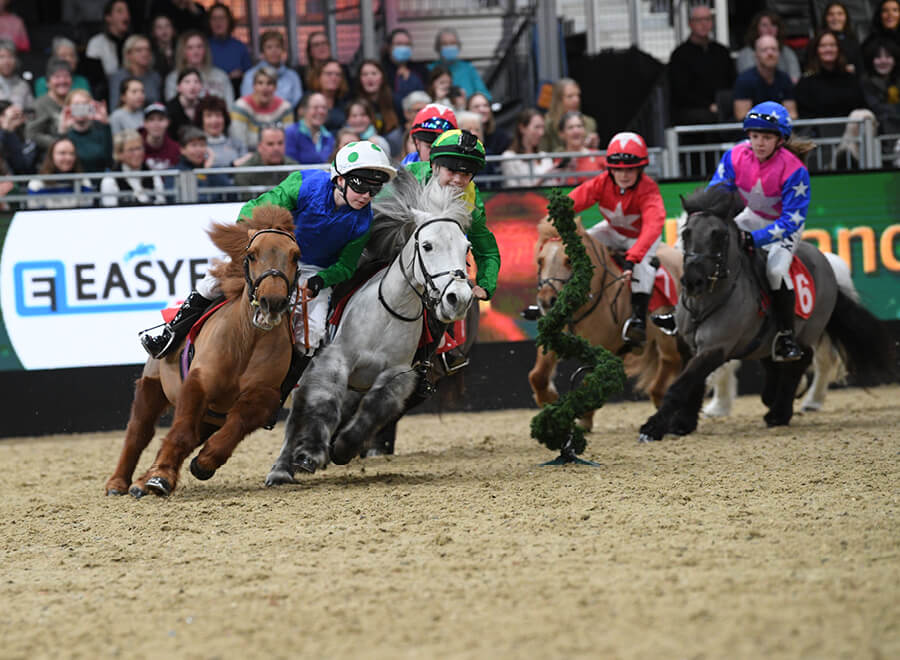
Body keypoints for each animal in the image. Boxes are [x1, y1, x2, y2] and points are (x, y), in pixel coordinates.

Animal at [104, 206, 302, 496]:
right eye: (252, 255)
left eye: (295, 256)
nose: (272, 302)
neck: (245, 342)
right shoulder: (198, 383)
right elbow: (180, 433)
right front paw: (160, 476)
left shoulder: (264, 397)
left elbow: (232, 429)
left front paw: (204, 462)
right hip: (151, 388)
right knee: (139, 433)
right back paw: (119, 482)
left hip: (209, 418)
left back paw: (142, 481)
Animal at [266, 170, 474, 482]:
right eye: (427, 245)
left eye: (466, 248)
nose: (458, 299)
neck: (387, 315)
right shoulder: (334, 360)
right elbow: (324, 404)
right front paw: (310, 453)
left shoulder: (398, 376)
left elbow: (375, 410)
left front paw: (342, 448)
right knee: (299, 412)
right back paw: (282, 468)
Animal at [528, 217, 684, 428]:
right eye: (540, 260)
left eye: (570, 260)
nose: (546, 301)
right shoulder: (553, 340)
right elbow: (538, 375)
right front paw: (549, 400)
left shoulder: (606, 348)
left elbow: (590, 383)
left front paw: (583, 417)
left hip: (667, 336)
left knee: (671, 360)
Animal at [636, 186, 896, 440]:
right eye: (686, 233)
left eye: (719, 235)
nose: (693, 281)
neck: (705, 303)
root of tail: (824, 259)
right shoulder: (689, 347)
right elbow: (693, 384)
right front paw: (683, 423)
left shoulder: (714, 348)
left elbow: (680, 385)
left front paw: (652, 428)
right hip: (765, 340)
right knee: (774, 364)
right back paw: (775, 399)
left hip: (808, 330)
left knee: (802, 359)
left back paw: (781, 412)